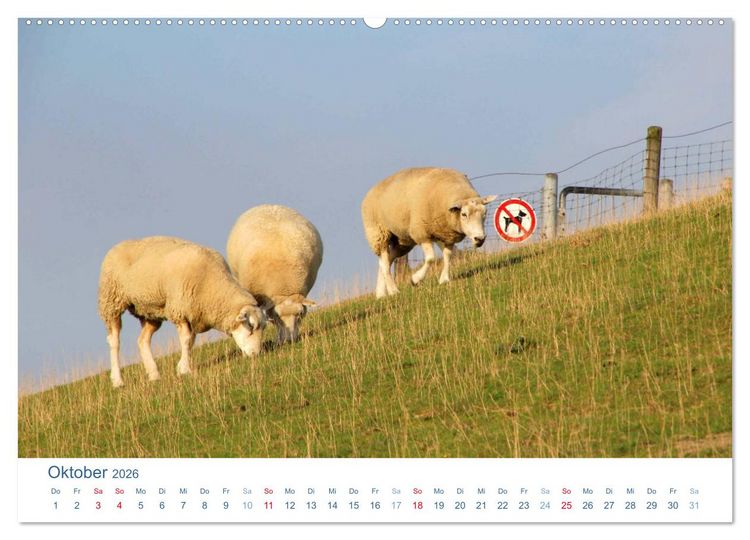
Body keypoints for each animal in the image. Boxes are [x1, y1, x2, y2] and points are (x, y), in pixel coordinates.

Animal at [98, 236, 267, 387]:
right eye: (250, 327)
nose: (256, 354)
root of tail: (118, 245)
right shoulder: (179, 311)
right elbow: (185, 340)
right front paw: (185, 369)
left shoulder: (193, 314)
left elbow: (190, 341)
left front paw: (181, 367)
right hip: (111, 300)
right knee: (114, 341)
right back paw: (117, 380)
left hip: (150, 311)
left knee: (143, 340)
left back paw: (154, 374)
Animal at [361, 167, 497, 298]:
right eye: (464, 214)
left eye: (485, 213)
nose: (480, 239)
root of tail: (372, 189)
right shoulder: (422, 233)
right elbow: (431, 258)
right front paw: (415, 279)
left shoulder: (446, 235)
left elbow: (448, 255)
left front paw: (444, 279)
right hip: (378, 232)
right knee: (384, 260)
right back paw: (393, 290)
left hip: (403, 240)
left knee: (386, 261)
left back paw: (381, 293)